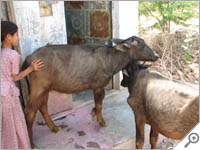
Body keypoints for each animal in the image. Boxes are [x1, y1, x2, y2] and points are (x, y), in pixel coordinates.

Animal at [22, 35, 159, 146]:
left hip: (46, 88)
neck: (112, 62)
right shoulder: (97, 84)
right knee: (29, 111)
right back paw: (31, 143)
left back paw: (54, 127)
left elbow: (100, 101)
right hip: (38, 87)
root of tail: (28, 58)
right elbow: (99, 104)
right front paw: (101, 121)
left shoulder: (99, 86)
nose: (156, 56)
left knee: (43, 106)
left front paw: (93, 112)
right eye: (142, 45)